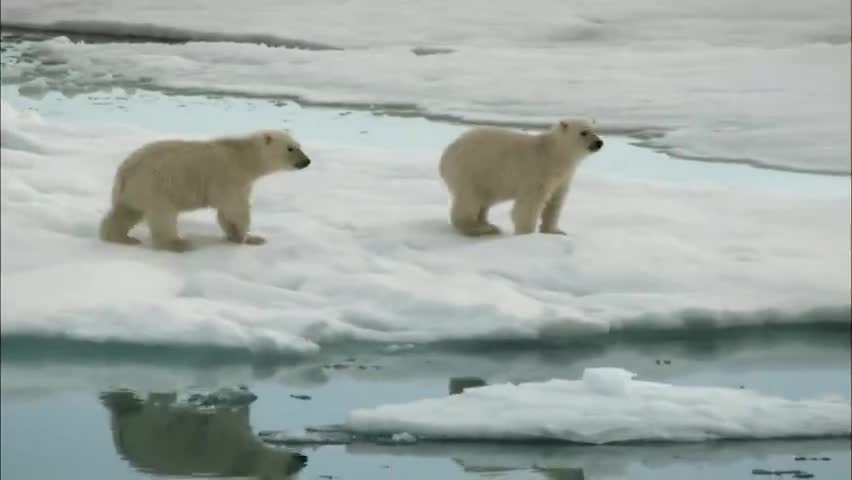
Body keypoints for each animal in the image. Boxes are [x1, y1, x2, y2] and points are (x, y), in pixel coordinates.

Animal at [98, 129, 311, 252]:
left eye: (299, 145)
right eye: (290, 148)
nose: (307, 161)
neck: (243, 157)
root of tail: (125, 171)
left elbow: (226, 213)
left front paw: (235, 236)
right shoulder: (229, 177)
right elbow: (235, 209)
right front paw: (250, 238)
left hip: (133, 192)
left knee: (125, 213)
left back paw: (122, 238)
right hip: (157, 186)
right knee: (163, 217)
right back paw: (179, 244)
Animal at [438, 119, 603, 237]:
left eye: (595, 130)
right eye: (583, 132)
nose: (599, 142)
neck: (552, 152)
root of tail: (446, 155)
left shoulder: (561, 178)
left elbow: (554, 203)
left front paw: (555, 231)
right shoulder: (537, 172)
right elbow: (528, 205)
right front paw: (527, 234)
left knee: (483, 202)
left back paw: (487, 225)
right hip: (472, 171)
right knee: (470, 200)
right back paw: (480, 228)